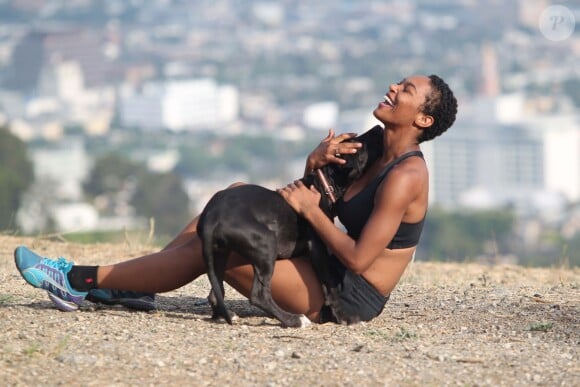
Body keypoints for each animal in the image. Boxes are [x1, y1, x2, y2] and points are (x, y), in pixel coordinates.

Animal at [197, 126, 382, 328]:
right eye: (358, 144)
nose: (378, 128)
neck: (323, 185)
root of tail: (211, 216)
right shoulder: (317, 246)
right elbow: (329, 282)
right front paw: (343, 315)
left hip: (220, 253)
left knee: (215, 292)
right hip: (266, 245)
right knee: (259, 295)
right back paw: (294, 320)